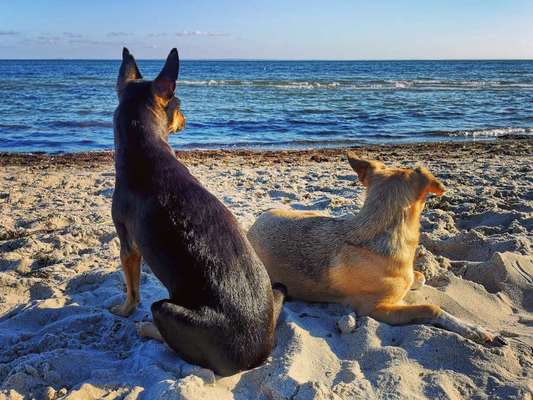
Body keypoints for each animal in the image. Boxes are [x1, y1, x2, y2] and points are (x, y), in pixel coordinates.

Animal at [110, 48, 284, 376]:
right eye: (179, 107)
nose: (187, 119)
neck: (146, 145)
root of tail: (255, 357)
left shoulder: (127, 246)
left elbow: (132, 291)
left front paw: (125, 310)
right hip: (270, 289)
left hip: (164, 308)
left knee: (166, 332)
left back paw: (149, 329)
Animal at [245, 153, 502, 346]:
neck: (378, 229)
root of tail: (252, 227)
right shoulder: (378, 309)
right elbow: (432, 308)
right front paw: (472, 329)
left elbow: (419, 278)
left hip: (309, 214)